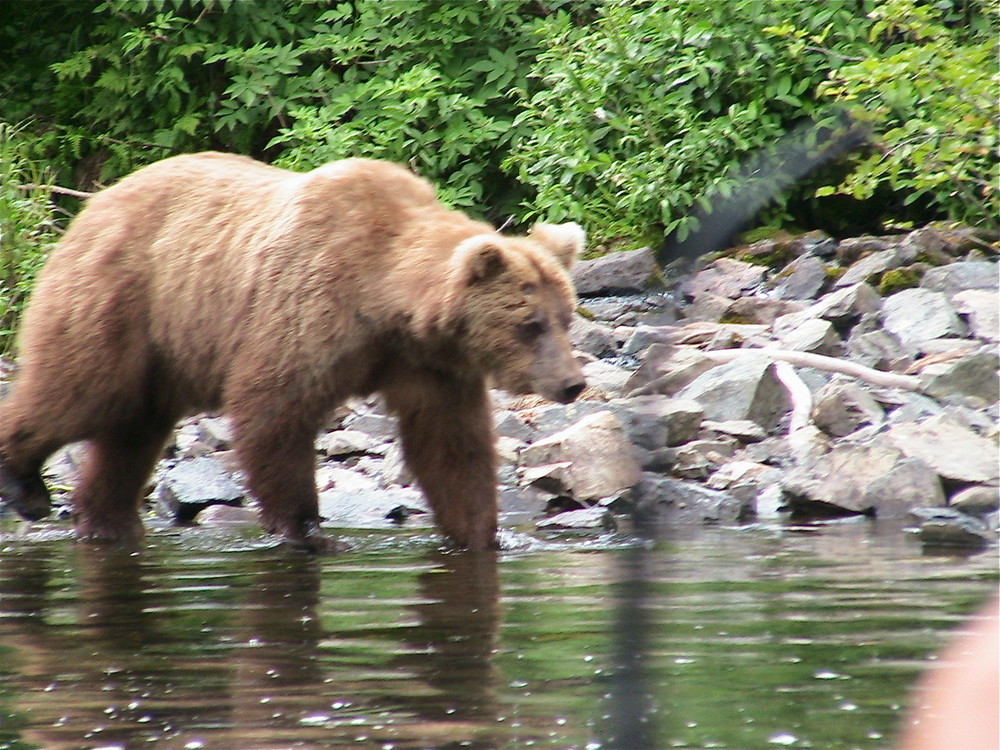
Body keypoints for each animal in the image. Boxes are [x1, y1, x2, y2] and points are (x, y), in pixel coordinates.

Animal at [1, 153, 584, 552]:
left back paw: (107, 521)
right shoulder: (312, 304)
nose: (573, 383)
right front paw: (307, 528)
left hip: (161, 348)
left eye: (566, 318)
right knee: (81, 391)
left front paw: (482, 532)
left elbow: (451, 445)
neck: (386, 301)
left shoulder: (429, 363)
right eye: (530, 325)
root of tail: (93, 203)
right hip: (125, 300)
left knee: (132, 429)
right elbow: (274, 405)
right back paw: (27, 485)